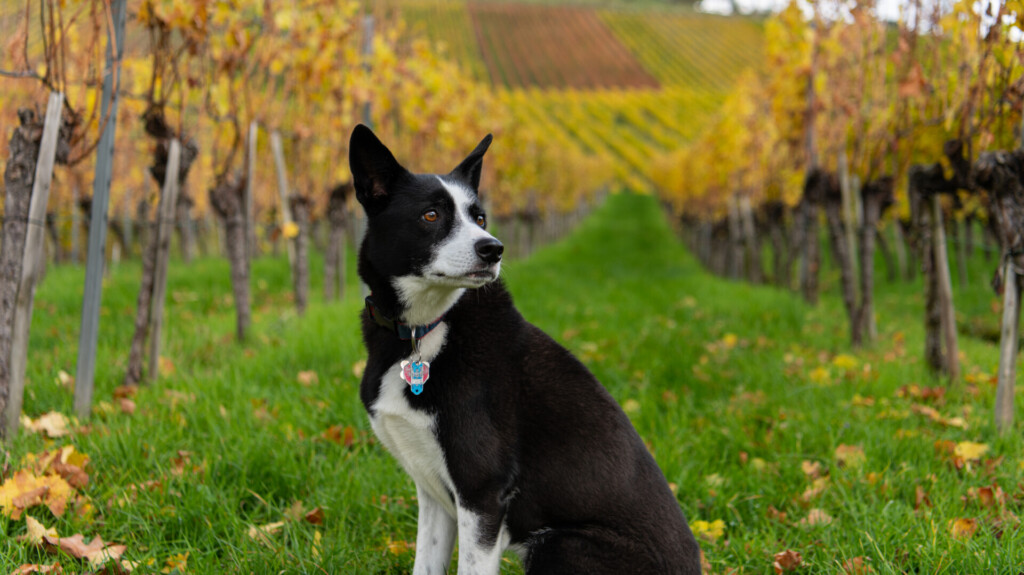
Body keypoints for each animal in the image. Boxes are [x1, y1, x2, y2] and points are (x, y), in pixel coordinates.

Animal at [348, 125, 700, 572]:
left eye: (479, 217)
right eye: (431, 215)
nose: (493, 249)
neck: (422, 330)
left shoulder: (482, 492)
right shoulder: (434, 494)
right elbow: (425, 564)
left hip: (559, 544)